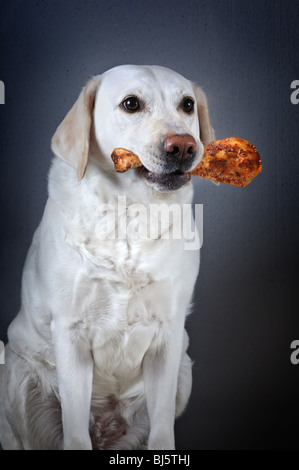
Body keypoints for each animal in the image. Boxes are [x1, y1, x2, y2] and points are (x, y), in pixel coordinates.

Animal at [0, 64, 216, 450]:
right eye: (131, 104)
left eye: (188, 104)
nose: (183, 146)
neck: (130, 211)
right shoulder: (70, 332)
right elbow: (75, 435)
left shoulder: (168, 335)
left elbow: (162, 432)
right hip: (16, 375)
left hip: (184, 370)